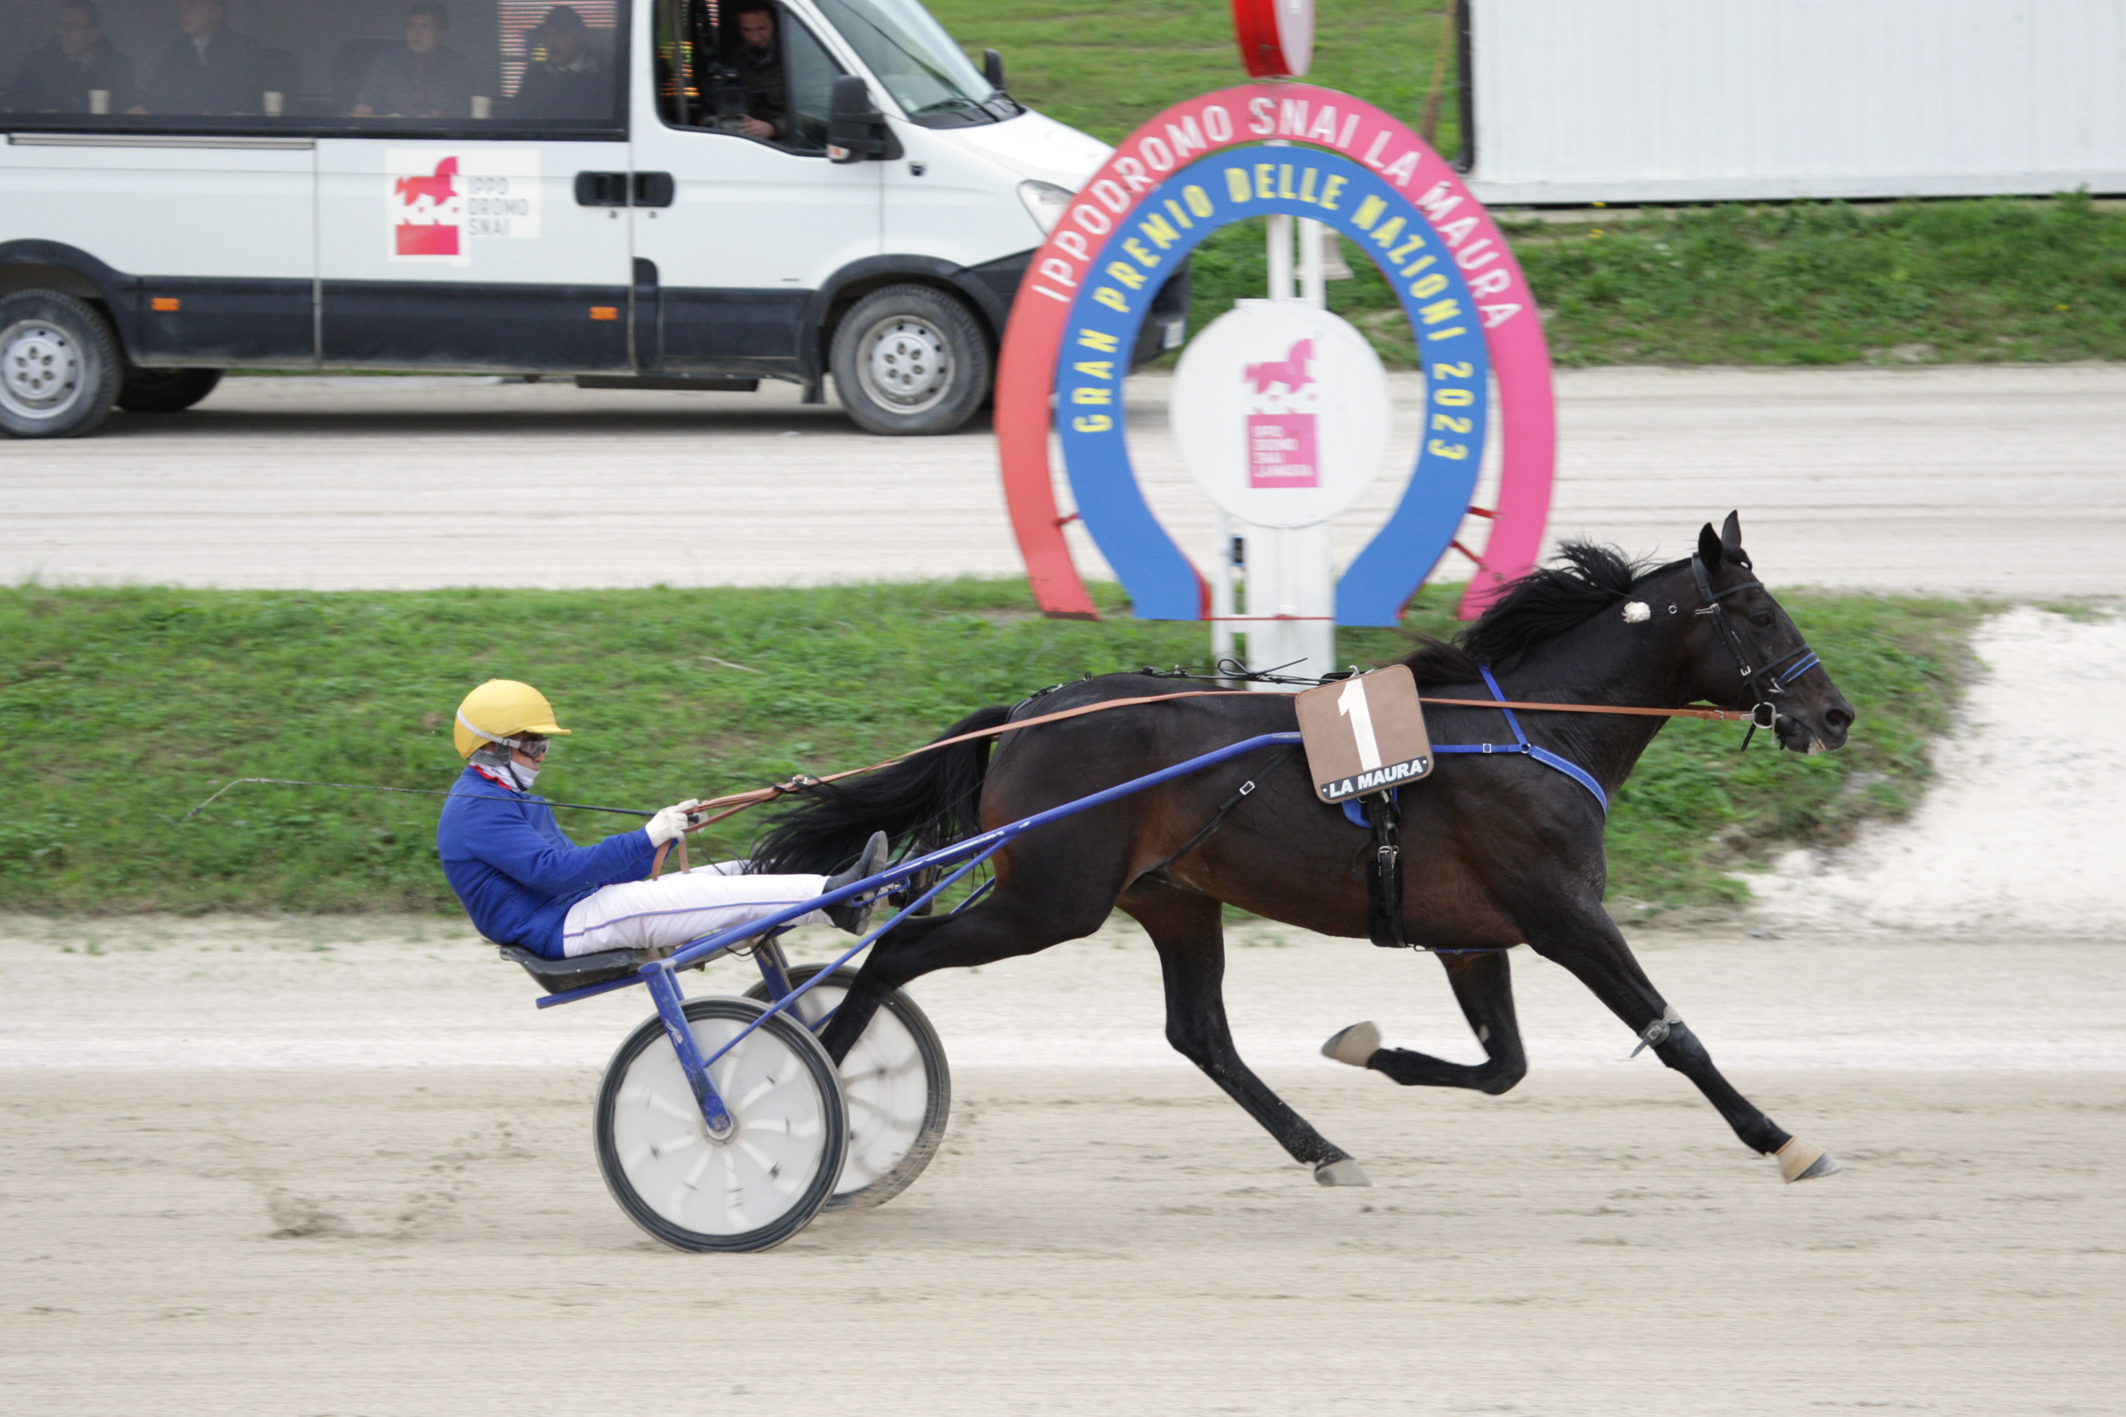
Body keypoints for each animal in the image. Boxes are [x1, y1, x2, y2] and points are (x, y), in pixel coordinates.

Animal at [756, 518, 1853, 1189]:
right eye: (1760, 613)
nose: (1834, 712)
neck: (1530, 729)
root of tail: (1031, 712)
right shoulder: (1563, 913)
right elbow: (1670, 1033)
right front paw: (1783, 1139)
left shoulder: (1472, 935)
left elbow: (1501, 1064)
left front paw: (1367, 1048)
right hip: (1049, 902)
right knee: (897, 953)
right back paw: (809, 1081)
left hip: (1172, 896)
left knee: (1200, 1034)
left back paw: (1321, 1147)